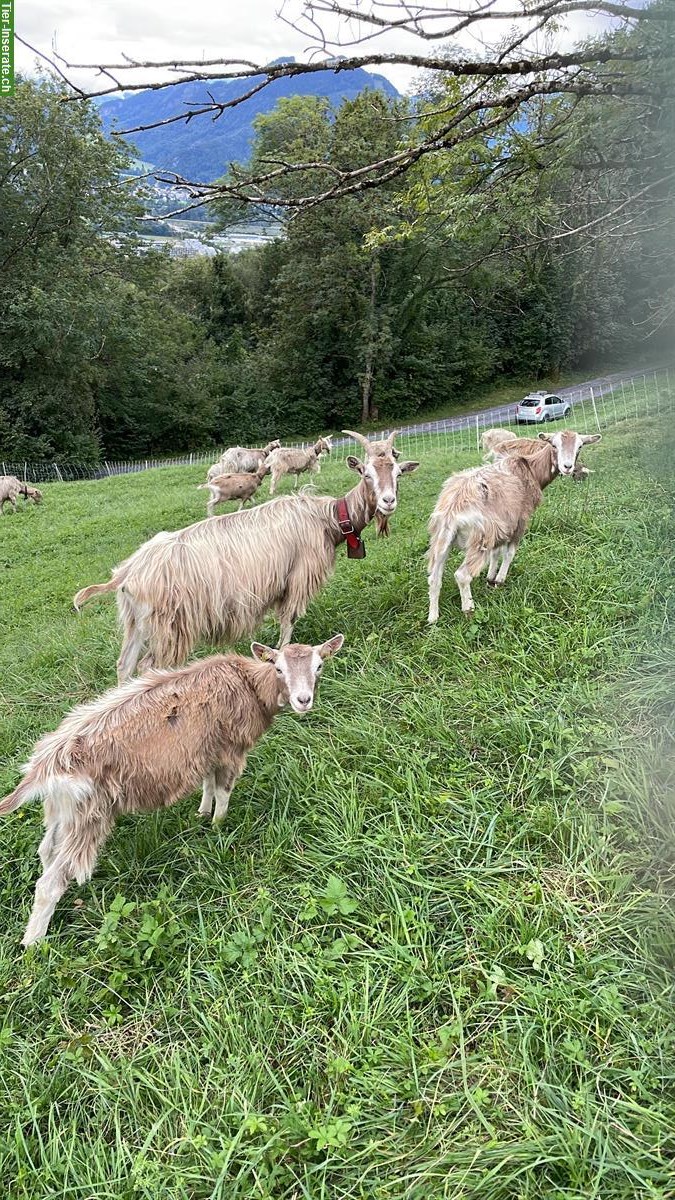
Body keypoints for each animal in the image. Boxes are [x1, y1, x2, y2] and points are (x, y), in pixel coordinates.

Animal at [1, 638, 341, 945]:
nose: (303, 700)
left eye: (319, 666)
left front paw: (202, 814)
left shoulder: (207, 750)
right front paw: (218, 826)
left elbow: (207, 783)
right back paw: (33, 944)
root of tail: (44, 767)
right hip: (90, 815)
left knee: (46, 852)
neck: (250, 684)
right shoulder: (230, 750)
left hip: (62, 813)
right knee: (50, 883)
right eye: (279, 668)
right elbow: (223, 790)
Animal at [74, 434, 420, 681]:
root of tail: (128, 572)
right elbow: (288, 622)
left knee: (124, 665)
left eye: (398, 473)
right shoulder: (297, 577)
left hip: (136, 623)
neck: (327, 518)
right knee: (148, 666)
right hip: (170, 626)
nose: (388, 502)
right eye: (365, 474)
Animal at [425, 429, 598, 619]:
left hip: (442, 539)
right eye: (554, 444)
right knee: (462, 575)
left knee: (434, 577)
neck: (531, 470)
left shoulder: (502, 527)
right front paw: (499, 580)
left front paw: (490, 578)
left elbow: (496, 553)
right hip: (480, 539)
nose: (567, 467)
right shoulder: (519, 521)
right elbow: (509, 553)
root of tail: (452, 510)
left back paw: (433, 618)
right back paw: (468, 609)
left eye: (579, 446)